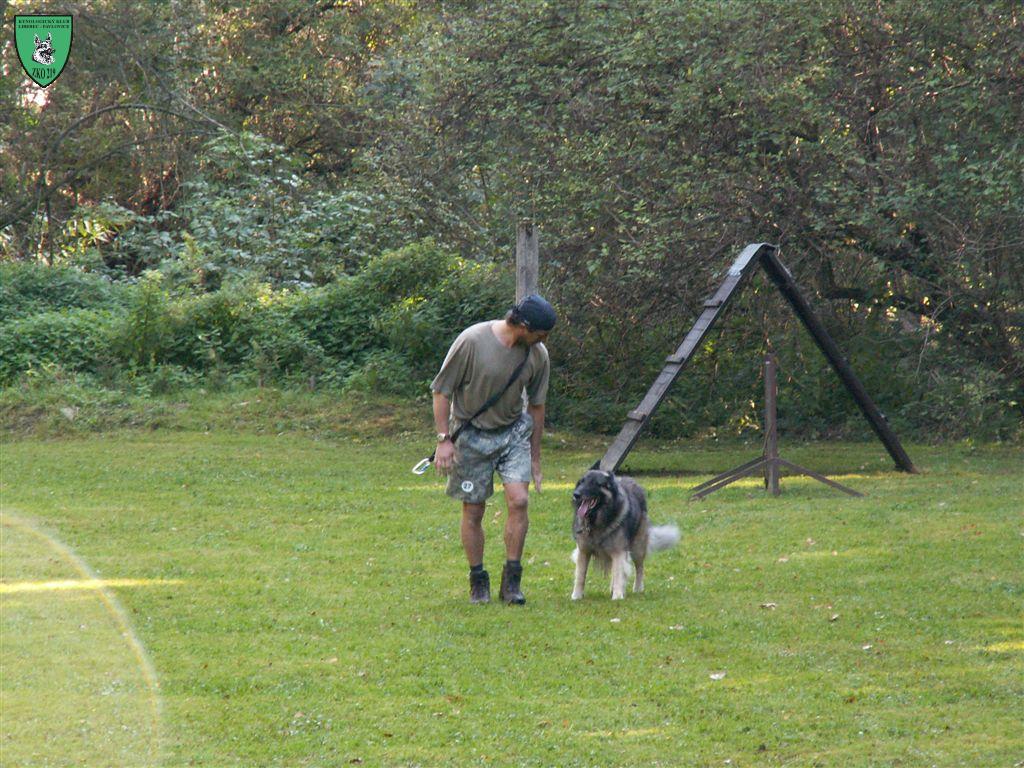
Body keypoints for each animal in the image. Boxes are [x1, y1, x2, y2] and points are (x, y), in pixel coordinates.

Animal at [571, 469, 679, 600]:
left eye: (594, 483)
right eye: (581, 482)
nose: (575, 494)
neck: (597, 519)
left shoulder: (618, 550)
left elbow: (619, 573)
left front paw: (618, 596)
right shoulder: (583, 551)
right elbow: (580, 575)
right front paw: (576, 596)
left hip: (638, 548)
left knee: (639, 568)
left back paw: (637, 588)